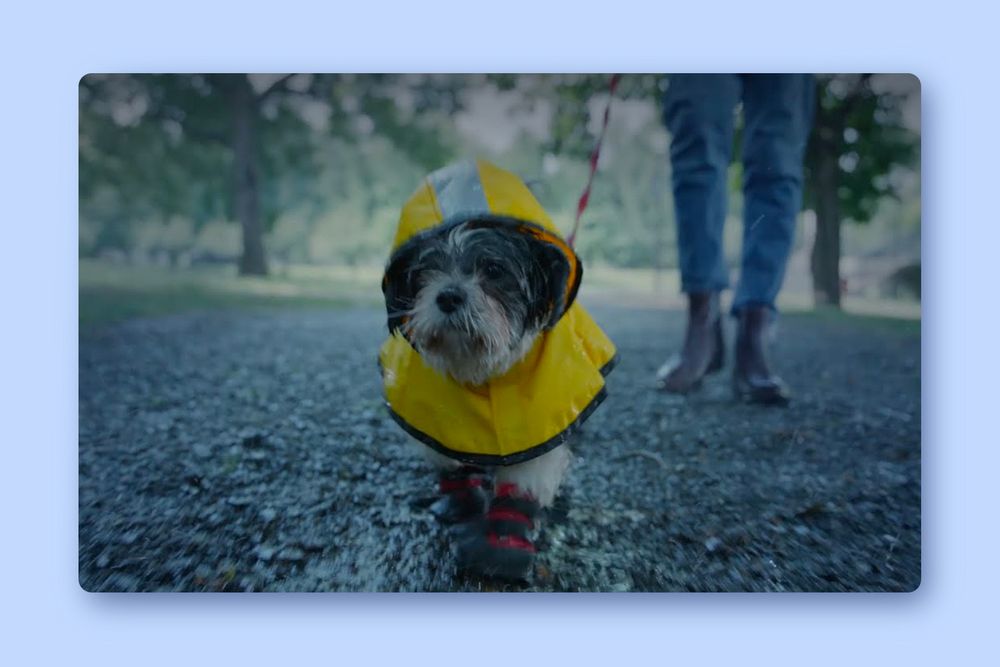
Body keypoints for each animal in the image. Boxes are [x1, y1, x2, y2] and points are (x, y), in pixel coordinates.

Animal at [378, 159, 616, 580]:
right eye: (424, 272)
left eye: (493, 269)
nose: (449, 295)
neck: (479, 371)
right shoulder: (433, 420)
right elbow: (449, 461)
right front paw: (459, 505)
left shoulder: (539, 422)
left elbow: (523, 479)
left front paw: (501, 546)